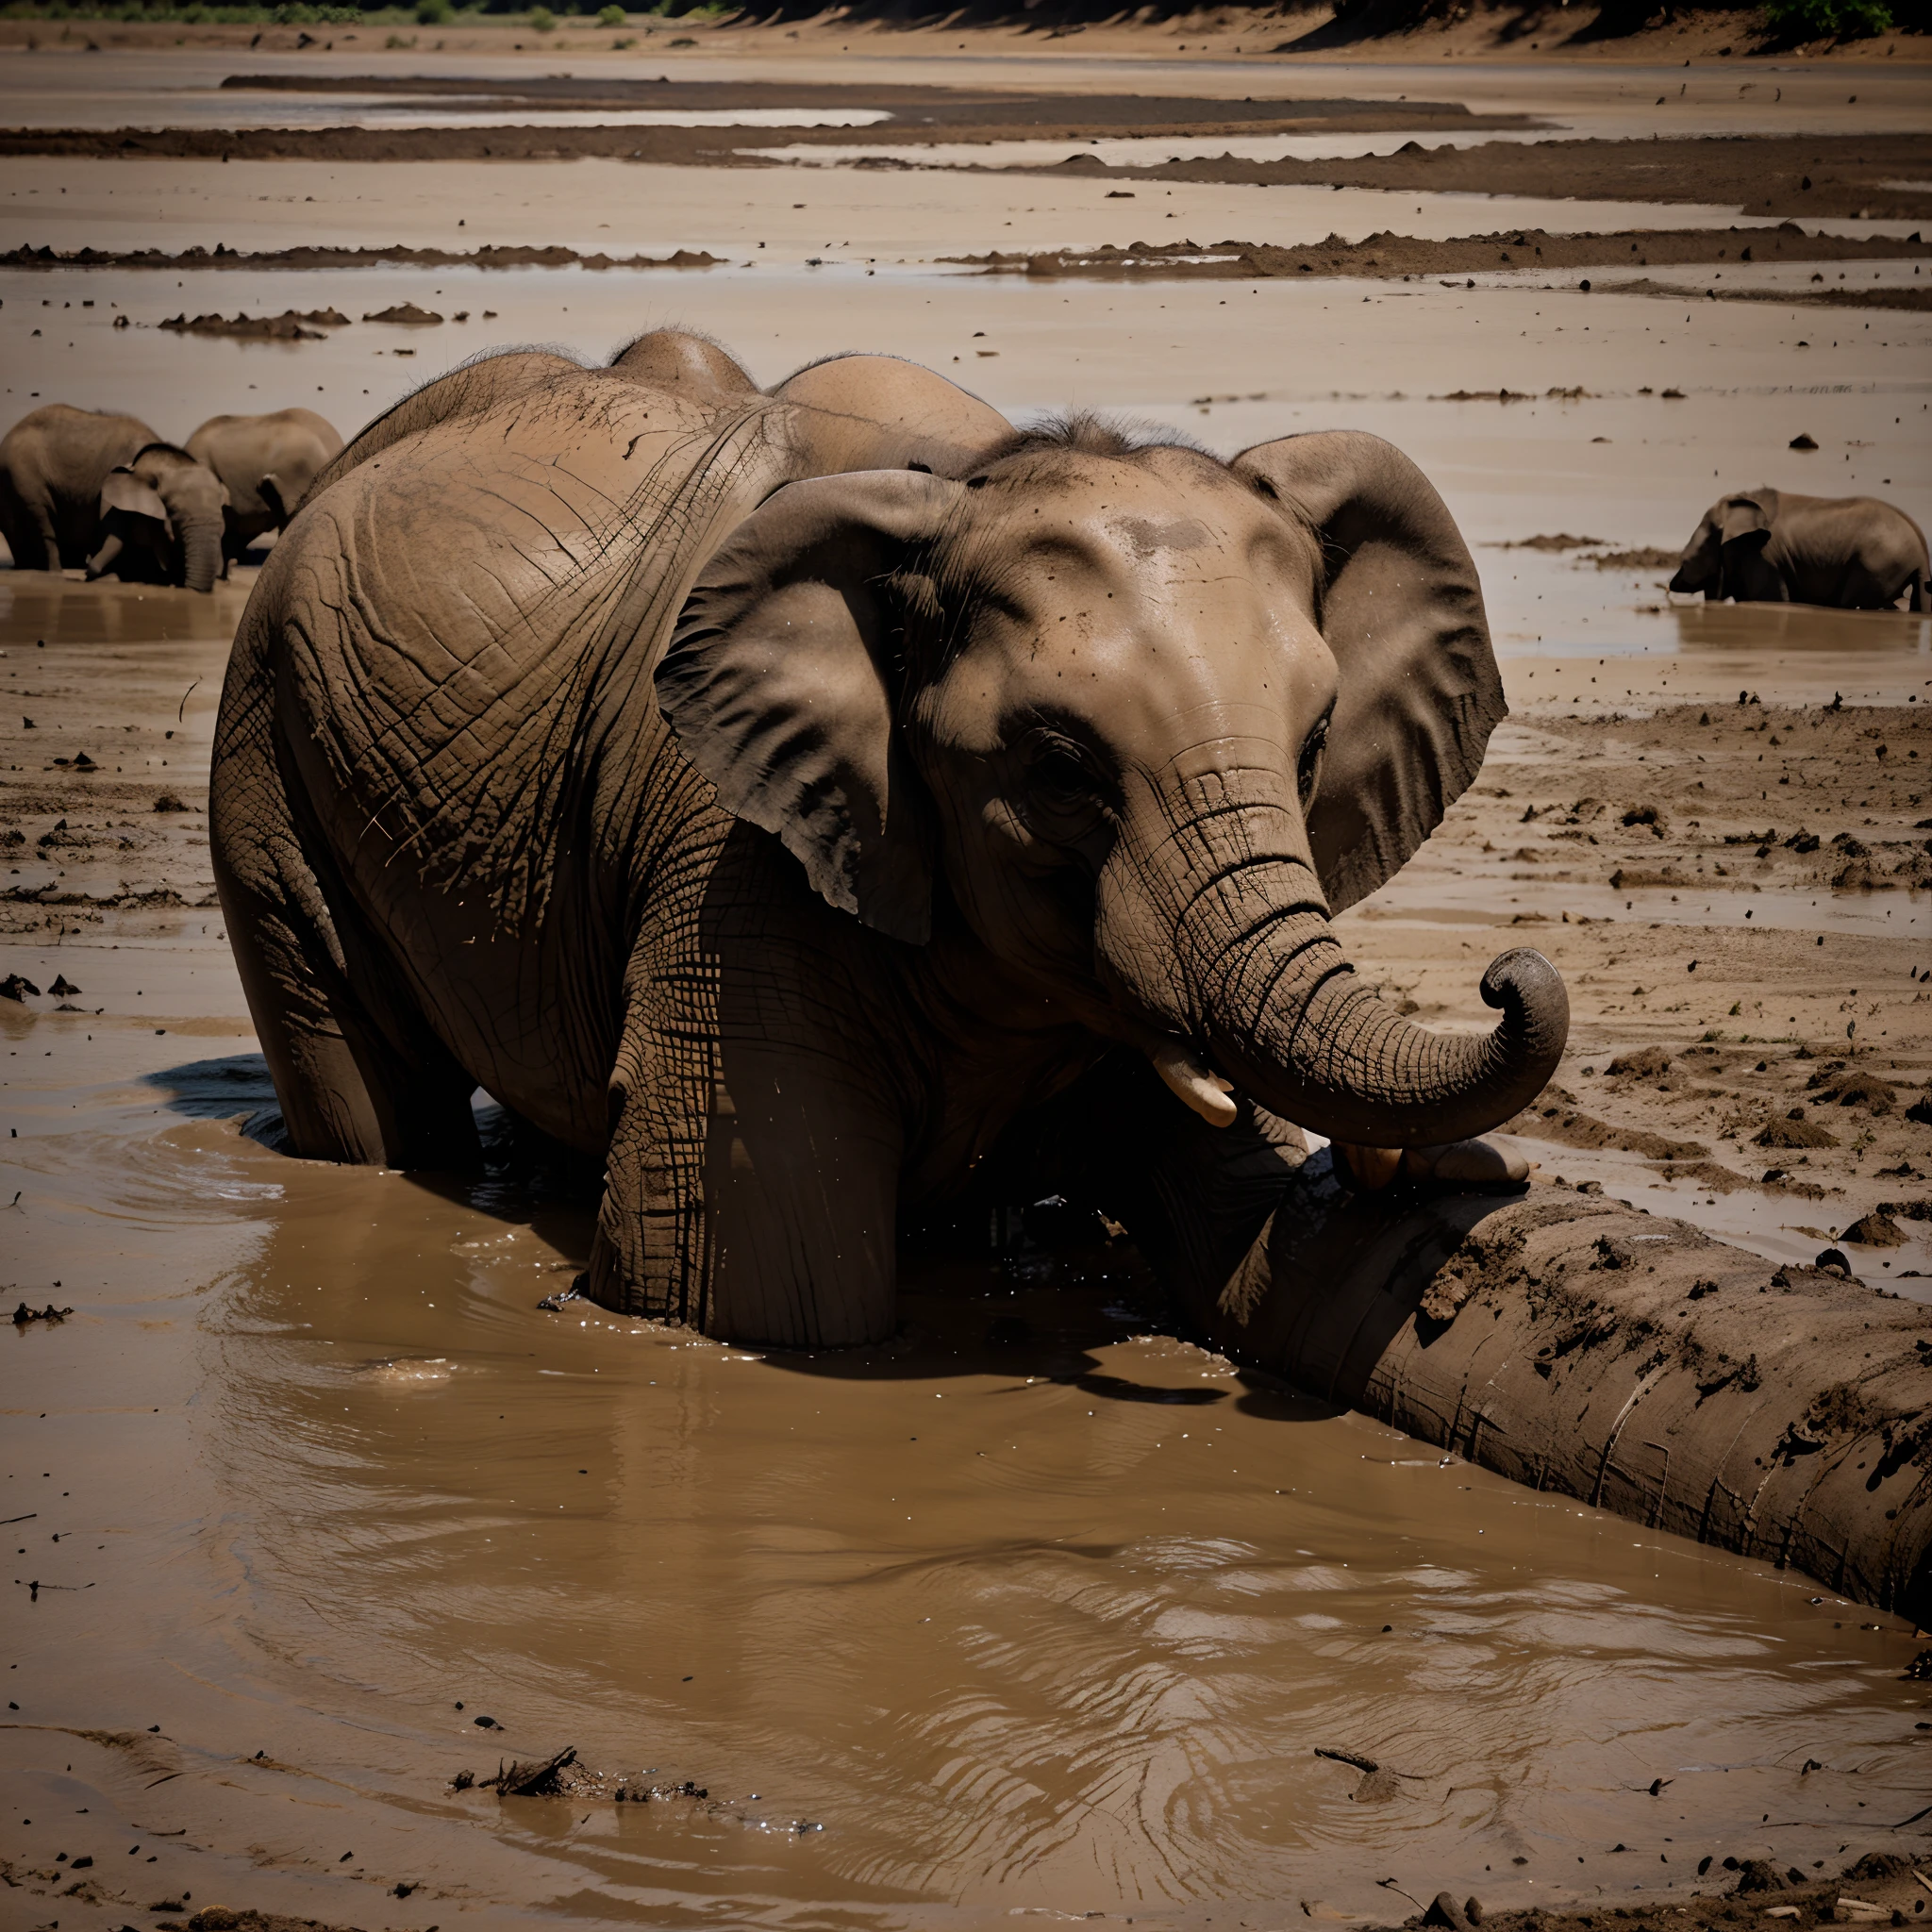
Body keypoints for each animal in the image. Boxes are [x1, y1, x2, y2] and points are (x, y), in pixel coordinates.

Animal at [211, 332, 1568, 1352]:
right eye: (1059, 770)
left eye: (1317, 738)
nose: (1504, 976)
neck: (973, 482)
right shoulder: (733, 859)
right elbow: (763, 1294)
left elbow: (1232, 1239)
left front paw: (1419, 1173)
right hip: (267, 737)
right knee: (365, 1090)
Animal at [1669, 478, 1924, 607]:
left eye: (1685, 561)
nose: (1672, 585)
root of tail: (1921, 546)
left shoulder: (1763, 555)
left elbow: (1769, 598)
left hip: (1876, 565)